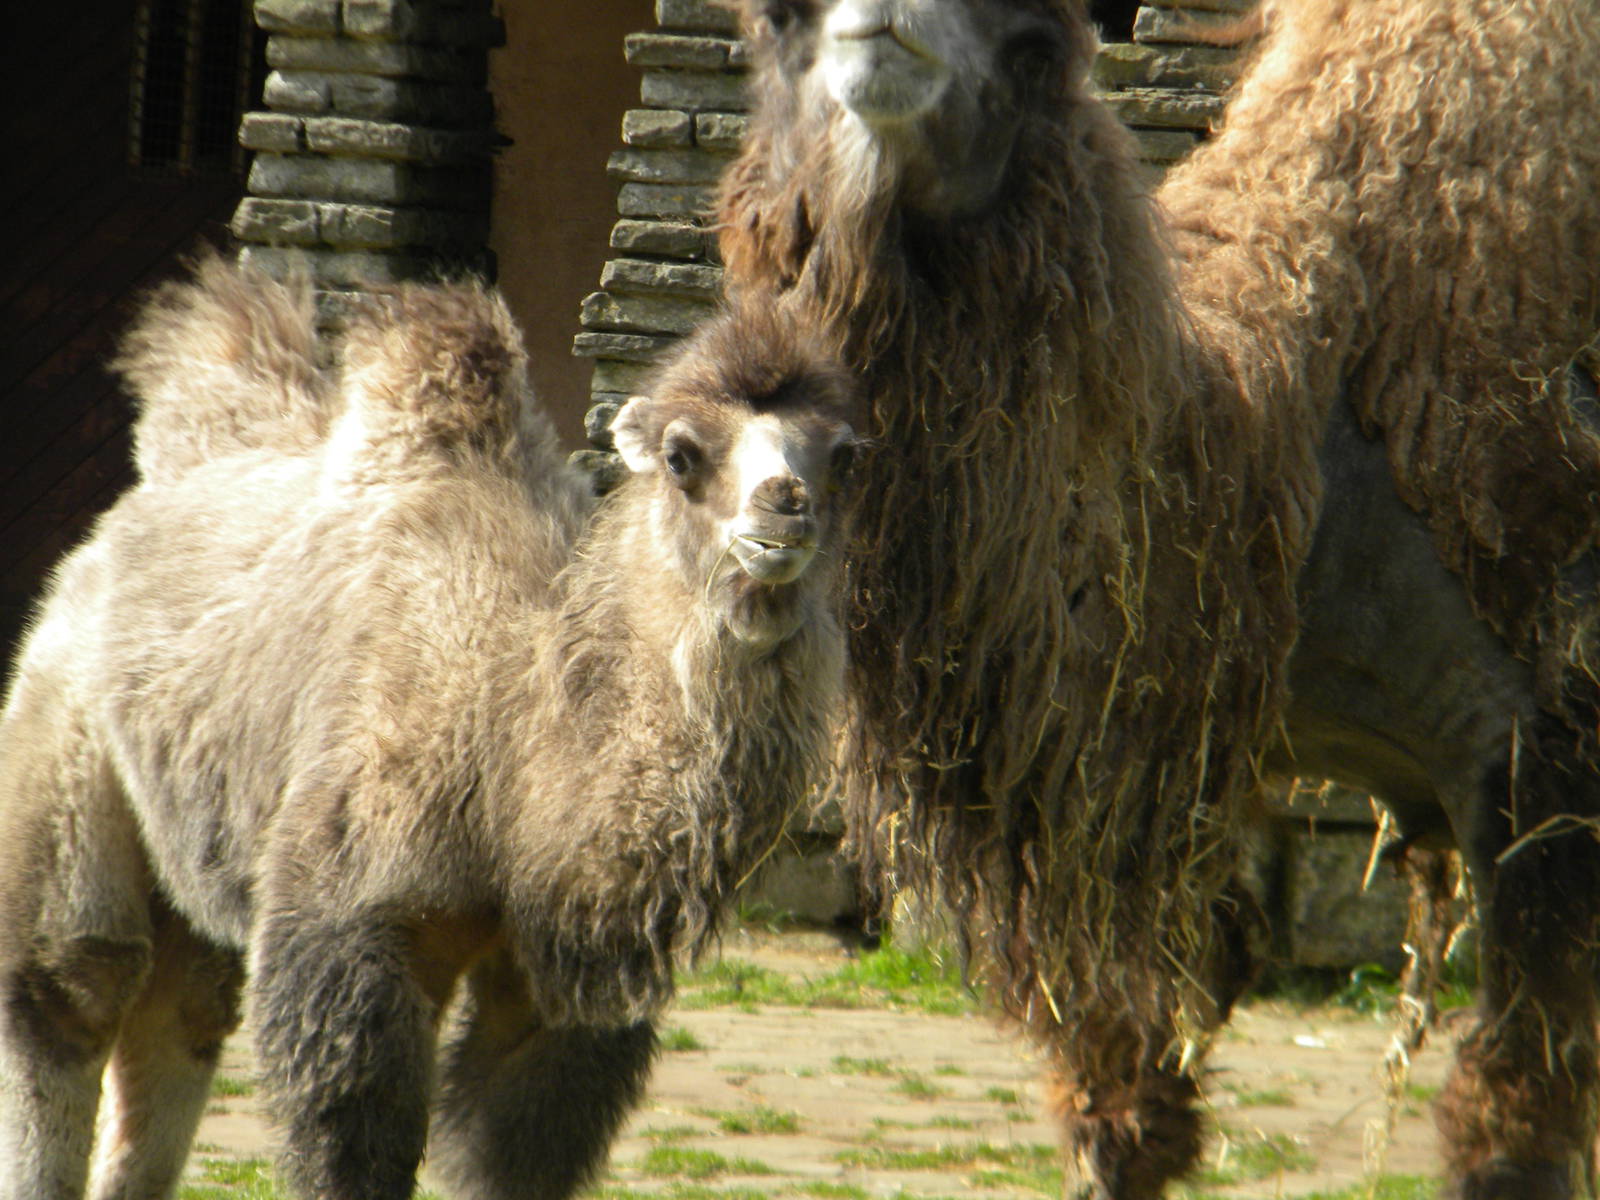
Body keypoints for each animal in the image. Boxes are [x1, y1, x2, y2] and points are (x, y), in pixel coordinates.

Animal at [0, 258, 860, 1200]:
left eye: (845, 455)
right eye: (681, 455)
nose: (786, 507)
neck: (514, 733)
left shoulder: (556, 976)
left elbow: (512, 1146)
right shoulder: (355, 916)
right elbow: (351, 1134)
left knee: (187, 1000)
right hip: (63, 724)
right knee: (74, 981)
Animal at [715, 0, 1600, 1196]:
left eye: (1037, 38)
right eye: (775, 21)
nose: (884, 31)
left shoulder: (1534, 745)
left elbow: (1512, 1123)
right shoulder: (1178, 740)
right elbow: (1130, 1087)